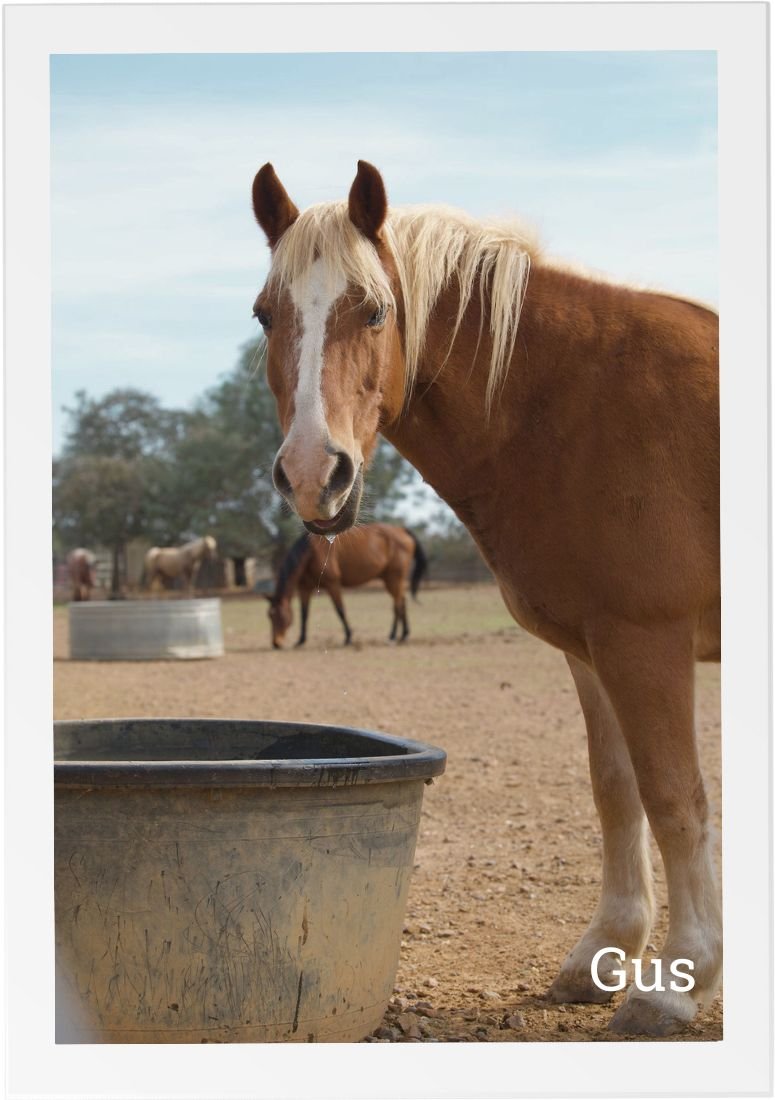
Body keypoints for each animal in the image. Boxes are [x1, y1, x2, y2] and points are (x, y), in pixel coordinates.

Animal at [264, 523, 427, 648]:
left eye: (280, 616)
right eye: (270, 616)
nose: (276, 643)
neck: (311, 553)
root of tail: (402, 530)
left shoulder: (333, 585)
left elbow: (340, 610)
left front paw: (348, 638)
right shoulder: (304, 589)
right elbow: (304, 614)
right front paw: (301, 640)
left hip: (394, 578)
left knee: (397, 605)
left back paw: (392, 636)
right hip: (393, 580)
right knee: (402, 602)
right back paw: (404, 635)